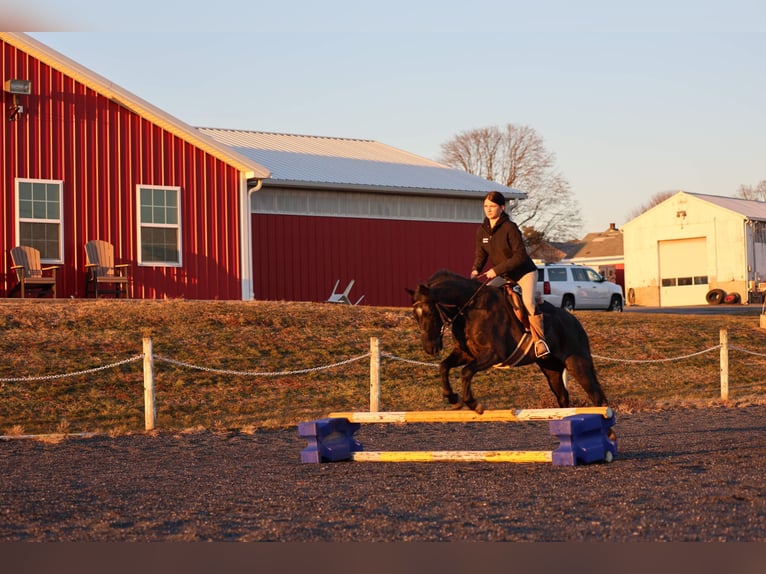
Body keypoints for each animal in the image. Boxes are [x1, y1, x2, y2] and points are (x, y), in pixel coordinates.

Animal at [406, 269, 609, 414]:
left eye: (430, 313)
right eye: (415, 316)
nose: (430, 348)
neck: (471, 310)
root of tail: (575, 322)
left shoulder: (493, 355)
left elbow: (466, 372)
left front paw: (473, 404)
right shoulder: (466, 353)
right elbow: (444, 366)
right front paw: (452, 398)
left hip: (577, 363)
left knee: (597, 397)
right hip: (550, 367)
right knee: (563, 397)